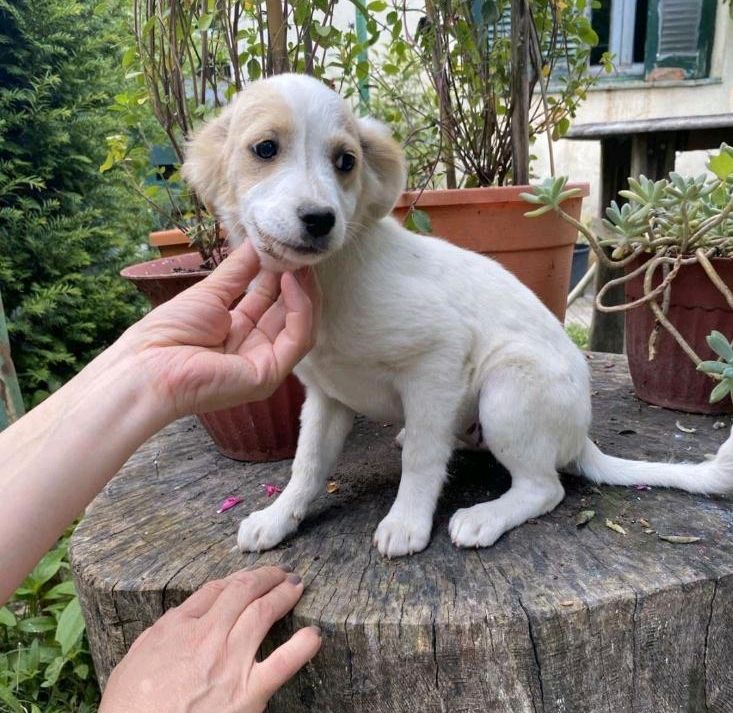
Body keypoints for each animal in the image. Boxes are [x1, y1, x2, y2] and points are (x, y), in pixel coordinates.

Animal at [182, 76, 732, 556]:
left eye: (345, 161)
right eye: (265, 149)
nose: (320, 220)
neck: (329, 278)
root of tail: (583, 437)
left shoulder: (437, 360)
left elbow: (422, 459)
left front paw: (406, 522)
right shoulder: (325, 396)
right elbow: (307, 466)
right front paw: (279, 518)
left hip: (509, 388)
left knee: (544, 487)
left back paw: (485, 517)